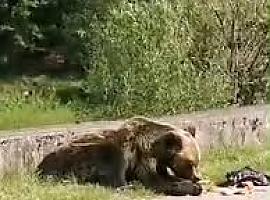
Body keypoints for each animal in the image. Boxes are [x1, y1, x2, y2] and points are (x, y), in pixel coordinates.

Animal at [38, 116, 202, 196]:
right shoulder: (141, 156)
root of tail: (40, 166)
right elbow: (153, 180)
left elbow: (165, 176)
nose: (197, 177)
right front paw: (192, 187)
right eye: (191, 163)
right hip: (80, 153)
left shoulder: (158, 162)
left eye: (196, 162)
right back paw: (127, 185)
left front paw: (192, 184)